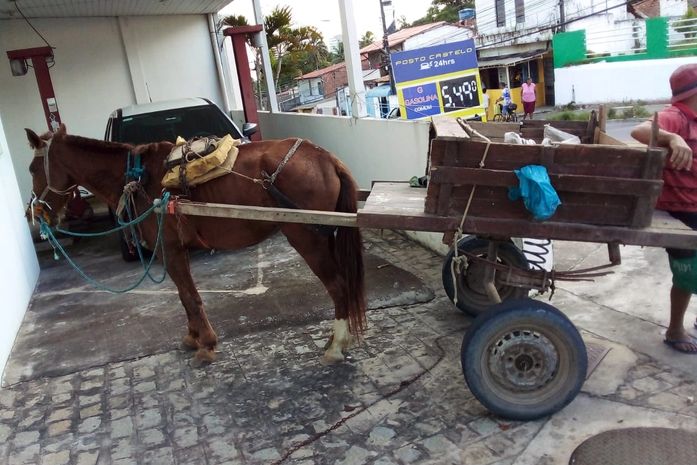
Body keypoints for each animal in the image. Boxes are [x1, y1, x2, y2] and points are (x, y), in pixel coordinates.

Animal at [25, 124, 366, 365]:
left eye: (31, 169)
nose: (36, 213)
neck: (138, 178)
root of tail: (325, 157)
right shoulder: (175, 250)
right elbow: (184, 295)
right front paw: (193, 338)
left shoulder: (170, 248)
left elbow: (189, 296)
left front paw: (206, 344)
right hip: (324, 235)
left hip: (307, 238)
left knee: (337, 285)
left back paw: (336, 346)